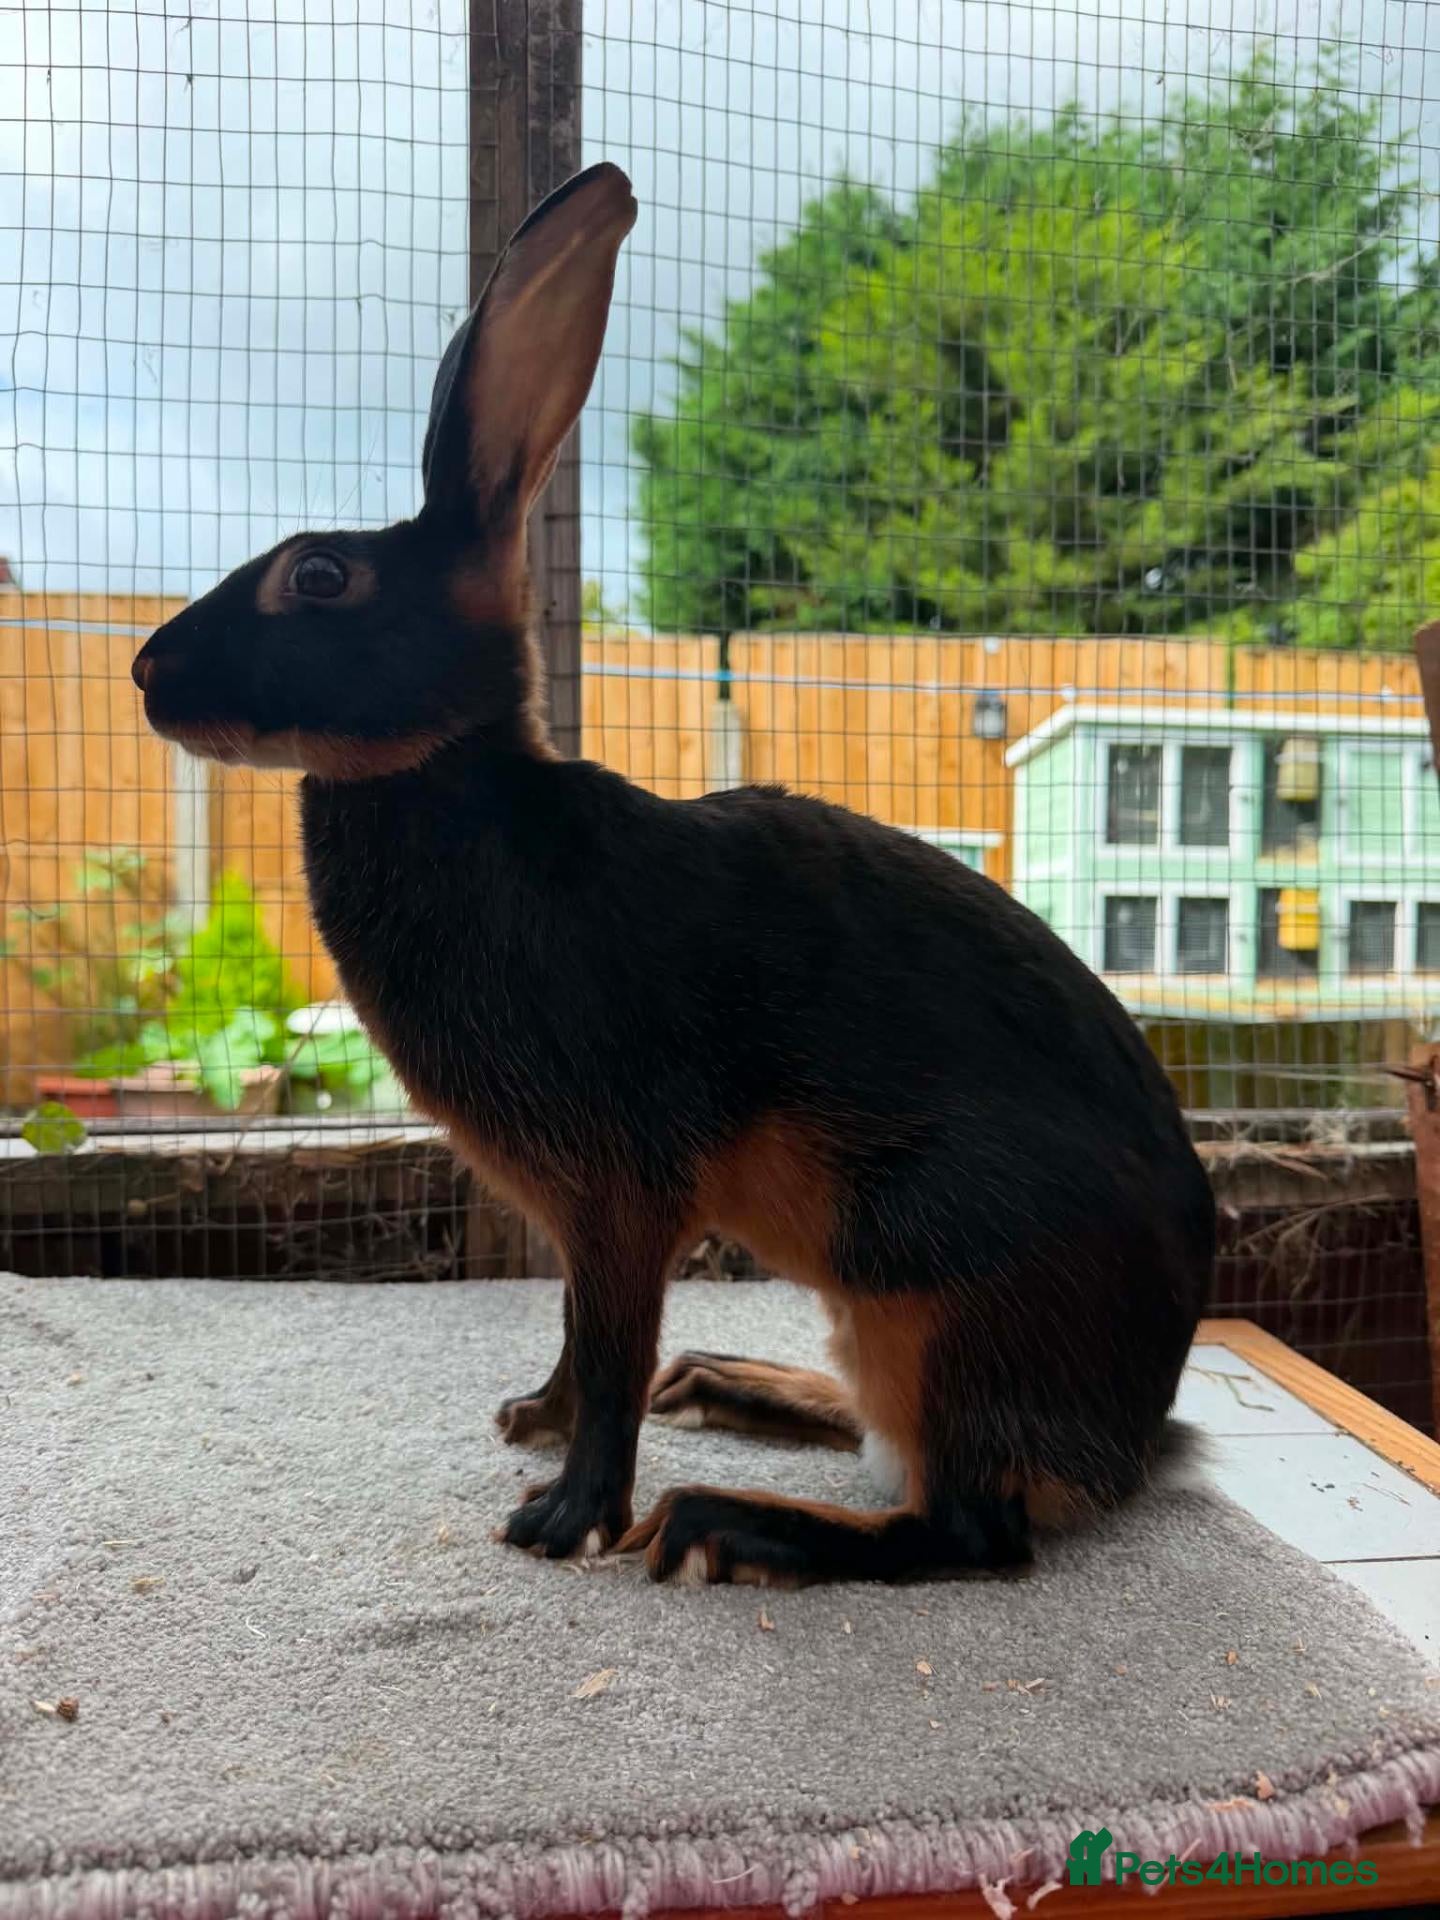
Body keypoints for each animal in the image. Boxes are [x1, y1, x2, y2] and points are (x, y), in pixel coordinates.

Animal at [133, 161, 1214, 1586]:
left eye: (319, 576)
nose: (145, 673)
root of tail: (1132, 1439)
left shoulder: (621, 1194)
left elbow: (607, 1351)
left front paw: (559, 1518)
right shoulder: (585, 1219)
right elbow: (576, 1343)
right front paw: (531, 1424)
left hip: (934, 1278)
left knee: (962, 1531)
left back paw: (723, 1518)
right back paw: (724, 1385)